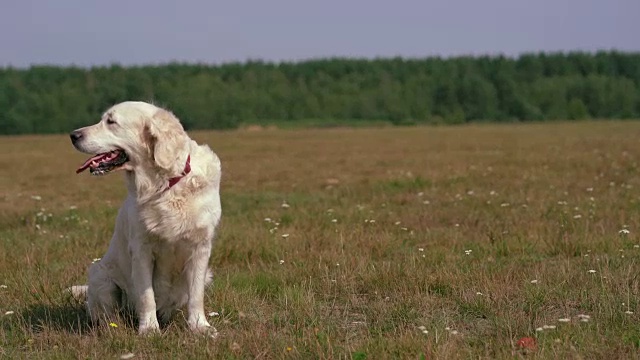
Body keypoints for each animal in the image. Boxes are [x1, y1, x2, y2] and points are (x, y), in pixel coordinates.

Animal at [68, 100, 221, 334]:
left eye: (111, 121)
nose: (73, 135)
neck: (164, 185)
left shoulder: (200, 247)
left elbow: (196, 296)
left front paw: (200, 327)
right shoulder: (142, 249)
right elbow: (146, 296)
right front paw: (149, 329)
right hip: (100, 275)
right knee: (107, 314)